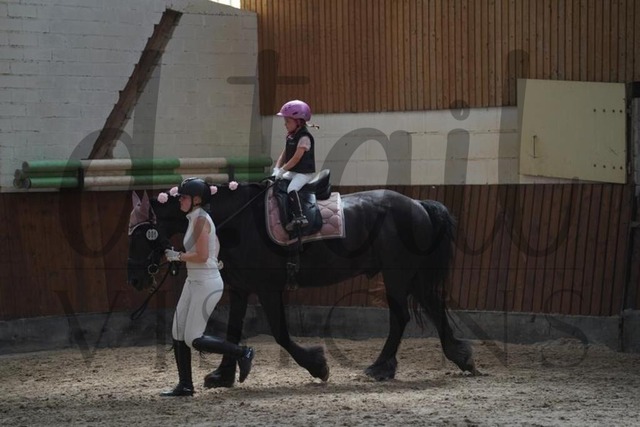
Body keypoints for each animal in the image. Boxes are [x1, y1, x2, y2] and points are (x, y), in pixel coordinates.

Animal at [126, 178, 478, 387]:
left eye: (143, 235)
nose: (135, 278)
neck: (240, 221)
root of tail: (419, 205)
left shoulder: (268, 288)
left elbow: (281, 334)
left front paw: (317, 365)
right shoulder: (240, 288)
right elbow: (232, 331)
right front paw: (223, 374)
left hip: (397, 275)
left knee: (401, 317)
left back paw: (380, 367)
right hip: (412, 276)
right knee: (433, 309)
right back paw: (461, 358)